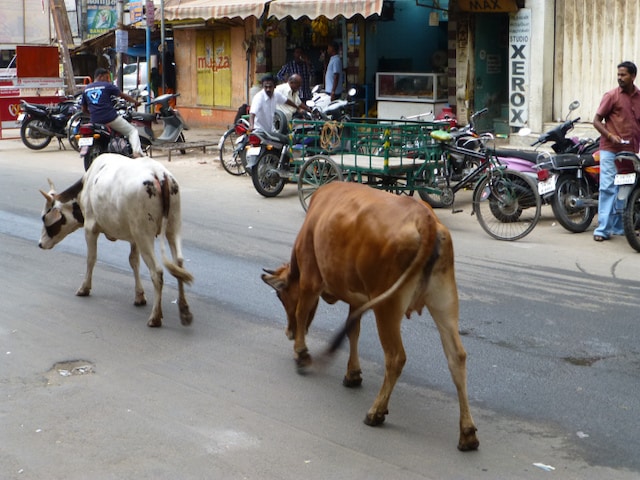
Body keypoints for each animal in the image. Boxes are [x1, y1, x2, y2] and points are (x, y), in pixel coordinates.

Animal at [39, 154, 194, 326]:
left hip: (144, 234)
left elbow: (91, 259)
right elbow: (133, 261)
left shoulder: (90, 227)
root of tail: (159, 174)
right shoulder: (133, 238)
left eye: (44, 217)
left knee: (157, 272)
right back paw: (184, 310)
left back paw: (155, 317)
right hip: (173, 227)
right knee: (178, 263)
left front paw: (84, 288)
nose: (40, 243)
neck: (86, 184)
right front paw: (139, 296)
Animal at [262, 182, 478, 452]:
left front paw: (301, 353)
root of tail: (426, 219)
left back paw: (376, 411)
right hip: (444, 301)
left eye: (281, 296)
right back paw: (467, 433)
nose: (288, 333)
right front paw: (352, 374)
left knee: (396, 357)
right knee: (457, 357)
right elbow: (352, 331)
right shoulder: (356, 300)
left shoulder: (311, 279)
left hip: (387, 306)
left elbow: (303, 312)